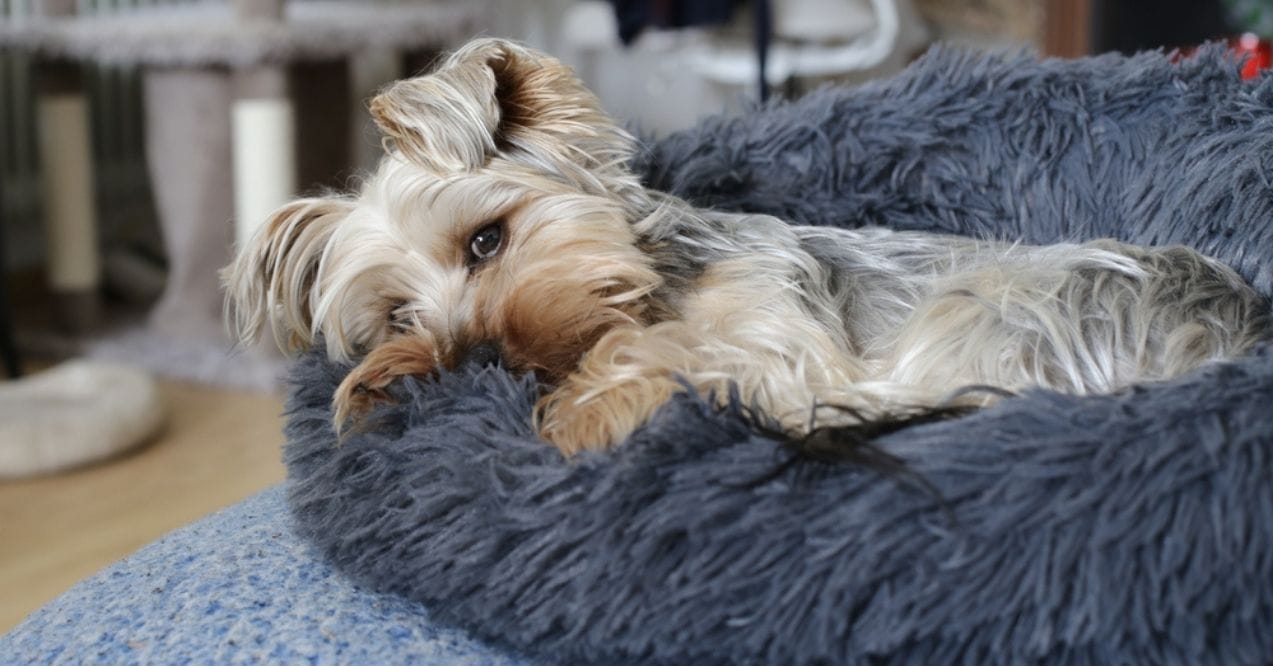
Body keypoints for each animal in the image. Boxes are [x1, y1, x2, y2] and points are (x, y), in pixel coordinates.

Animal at [224, 39, 1273, 455]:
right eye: (396, 317)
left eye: (487, 239)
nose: (465, 365)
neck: (658, 281)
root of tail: (1239, 328)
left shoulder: (778, 335)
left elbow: (671, 356)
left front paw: (577, 414)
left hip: (992, 315)